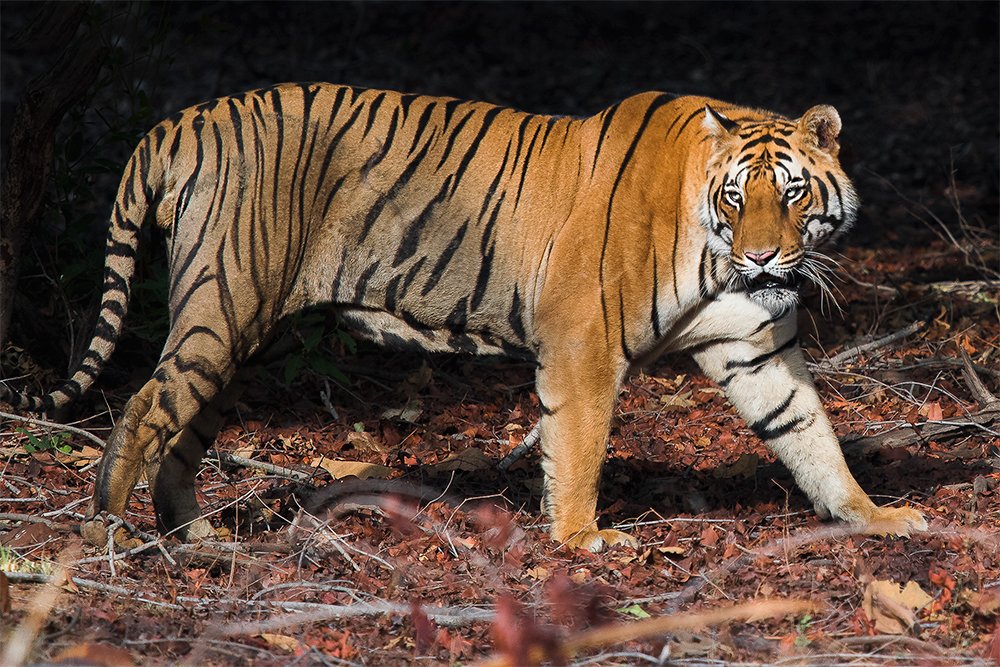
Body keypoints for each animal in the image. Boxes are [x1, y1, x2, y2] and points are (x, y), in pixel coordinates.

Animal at [1, 83, 927, 551]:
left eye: (793, 194)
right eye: (738, 198)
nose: (765, 259)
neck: (710, 251)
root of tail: (182, 118)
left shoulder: (753, 348)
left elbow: (812, 436)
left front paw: (873, 516)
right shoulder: (582, 343)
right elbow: (578, 447)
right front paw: (582, 538)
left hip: (238, 335)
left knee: (180, 431)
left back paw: (196, 539)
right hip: (223, 308)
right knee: (142, 408)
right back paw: (116, 535)